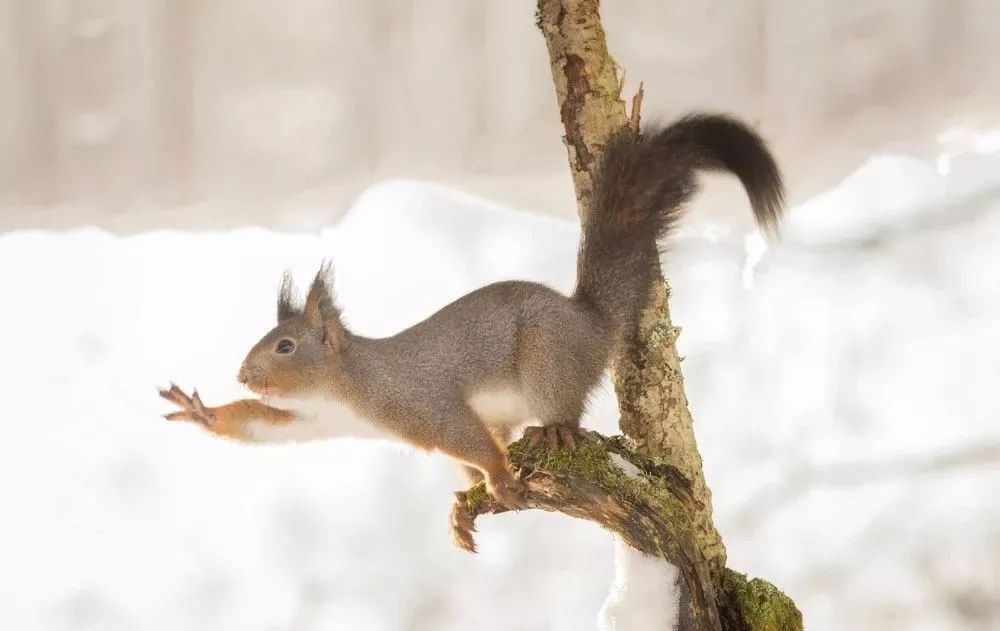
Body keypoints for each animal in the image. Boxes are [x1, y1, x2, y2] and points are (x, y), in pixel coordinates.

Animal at [158, 113, 780, 512]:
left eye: (285, 346)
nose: (243, 375)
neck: (345, 383)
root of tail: (590, 321)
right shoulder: (317, 418)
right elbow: (265, 426)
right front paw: (202, 412)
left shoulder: (419, 403)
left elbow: (466, 438)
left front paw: (501, 480)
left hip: (549, 361)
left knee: (559, 409)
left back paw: (554, 431)